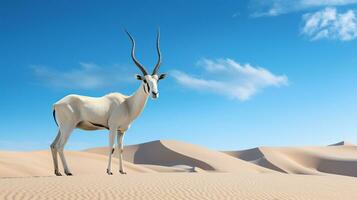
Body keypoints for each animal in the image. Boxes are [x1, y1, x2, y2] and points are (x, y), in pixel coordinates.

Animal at [50, 30, 165, 176]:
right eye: (145, 80)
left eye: (157, 80)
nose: (155, 93)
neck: (127, 103)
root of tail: (56, 104)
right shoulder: (113, 127)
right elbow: (111, 147)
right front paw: (109, 171)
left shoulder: (122, 131)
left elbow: (121, 149)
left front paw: (122, 171)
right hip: (68, 128)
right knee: (60, 146)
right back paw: (68, 172)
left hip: (61, 129)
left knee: (53, 145)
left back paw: (57, 172)